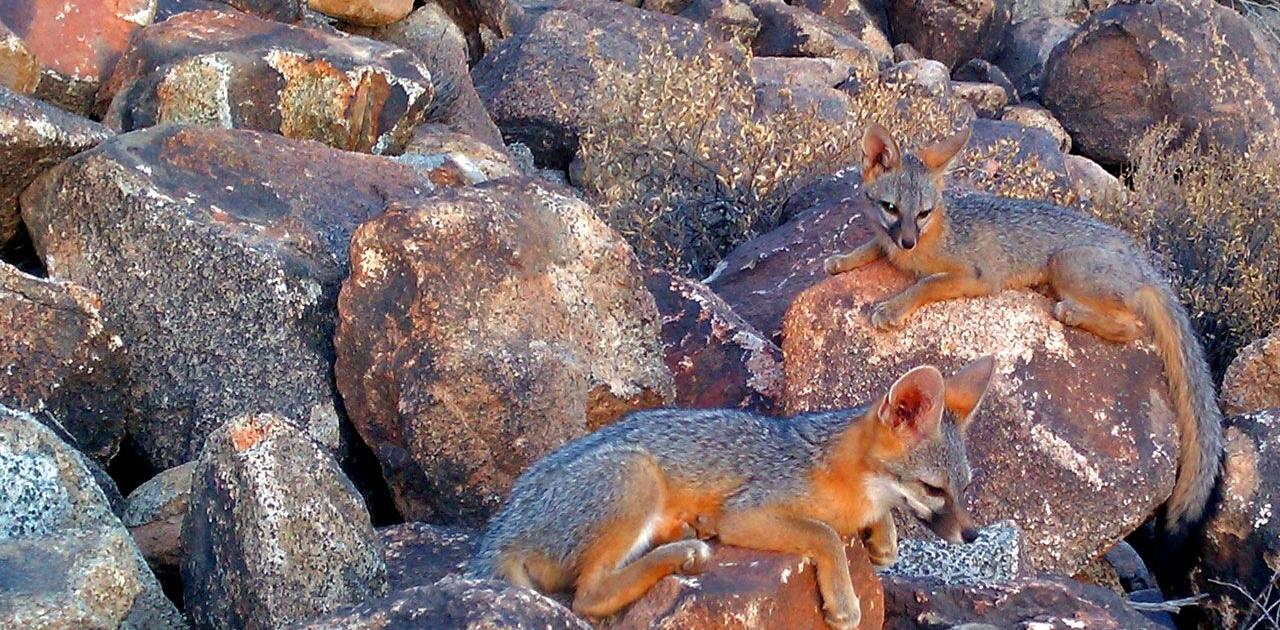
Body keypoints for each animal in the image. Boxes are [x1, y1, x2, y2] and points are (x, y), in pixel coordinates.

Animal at [468, 357, 996, 628]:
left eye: (965, 488)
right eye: (933, 488)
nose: (972, 536)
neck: (833, 468)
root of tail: (501, 528)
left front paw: (884, 538)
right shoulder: (745, 513)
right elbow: (825, 534)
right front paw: (845, 600)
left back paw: (684, 534)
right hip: (636, 474)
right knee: (588, 596)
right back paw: (682, 552)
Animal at [823, 123, 1223, 535]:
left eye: (923, 213)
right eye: (891, 208)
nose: (907, 240)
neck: (935, 234)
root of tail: (1144, 263)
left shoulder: (976, 277)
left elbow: (925, 285)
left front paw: (893, 306)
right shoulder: (892, 243)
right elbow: (875, 246)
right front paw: (844, 259)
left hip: (1067, 264)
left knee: (1135, 326)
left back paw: (1071, 312)